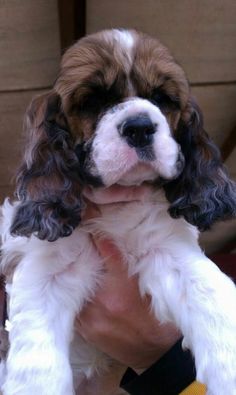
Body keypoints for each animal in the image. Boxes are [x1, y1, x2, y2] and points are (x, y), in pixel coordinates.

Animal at [0, 29, 236, 394]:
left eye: (162, 99)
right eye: (93, 102)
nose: (139, 127)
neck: (114, 201)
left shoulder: (167, 250)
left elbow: (211, 293)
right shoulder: (46, 270)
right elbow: (37, 364)